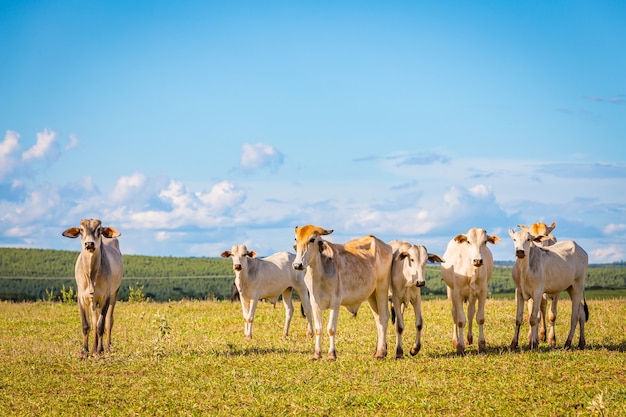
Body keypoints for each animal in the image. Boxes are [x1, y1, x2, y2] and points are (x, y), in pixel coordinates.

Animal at [62, 216, 123, 356]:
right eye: (81, 230)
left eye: (99, 229)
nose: (89, 244)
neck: (91, 275)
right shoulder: (81, 297)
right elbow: (86, 325)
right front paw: (85, 351)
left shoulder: (105, 297)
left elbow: (101, 325)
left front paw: (100, 350)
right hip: (94, 301)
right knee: (94, 321)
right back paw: (94, 348)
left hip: (114, 294)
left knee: (108, 321)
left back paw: (105, 347)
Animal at [292, 226, 390, 360]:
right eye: (296, 239)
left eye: (312, 239)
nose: (297, 265)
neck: (319, 274)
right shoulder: (314, 302)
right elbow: (318, 329)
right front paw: (317, 354)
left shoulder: (335, 302)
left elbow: (331, 329)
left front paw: (331, 354)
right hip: (371, 295)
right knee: (378, 319)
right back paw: (380, 351)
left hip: (381, 289)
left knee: (384, 317)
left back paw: (380, 352)